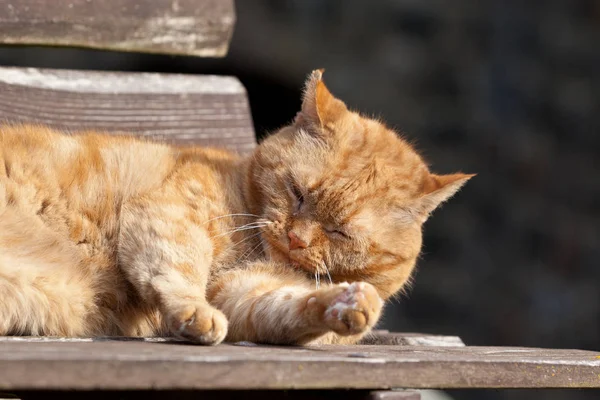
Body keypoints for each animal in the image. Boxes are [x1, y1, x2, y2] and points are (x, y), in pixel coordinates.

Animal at [0, 70, 472, 346]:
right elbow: (177, 270)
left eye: (340, 232)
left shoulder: (242, 291)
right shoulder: (171, 216)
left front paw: (344, 304)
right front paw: (194, 313)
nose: (296, 239)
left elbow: (282, 306)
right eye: (297, 192)